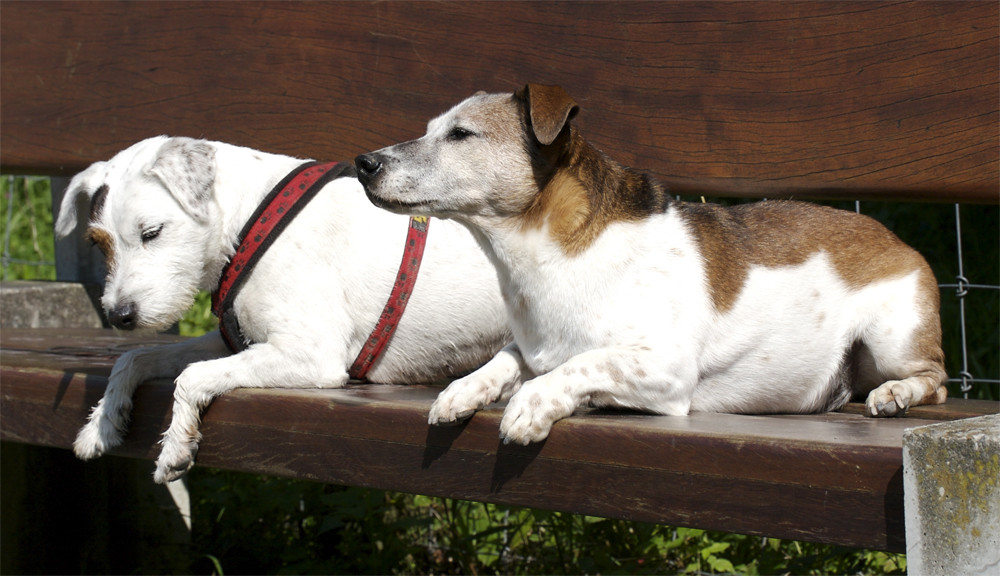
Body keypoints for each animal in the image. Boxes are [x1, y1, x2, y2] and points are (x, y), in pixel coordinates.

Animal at [55, 137, 512, 484]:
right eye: (98, 243)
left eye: (152, 232)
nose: (119, 316)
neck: (249, 217)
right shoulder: (233, 340)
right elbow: (133, 358)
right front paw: (102, 422)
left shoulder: (311, 354)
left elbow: (190, 376)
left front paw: (176, 445)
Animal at [356, 84, 948, 446]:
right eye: (430, 128)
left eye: (460, 135)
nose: (364, 162)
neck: (545, 259)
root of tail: (895, 237)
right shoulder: (535, 347)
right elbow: (505, 360)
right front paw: (464, 389)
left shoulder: (662, 366)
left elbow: (584, 364)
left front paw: (532, 402)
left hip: (893, 339)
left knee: (935, 380)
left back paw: (896, 395)